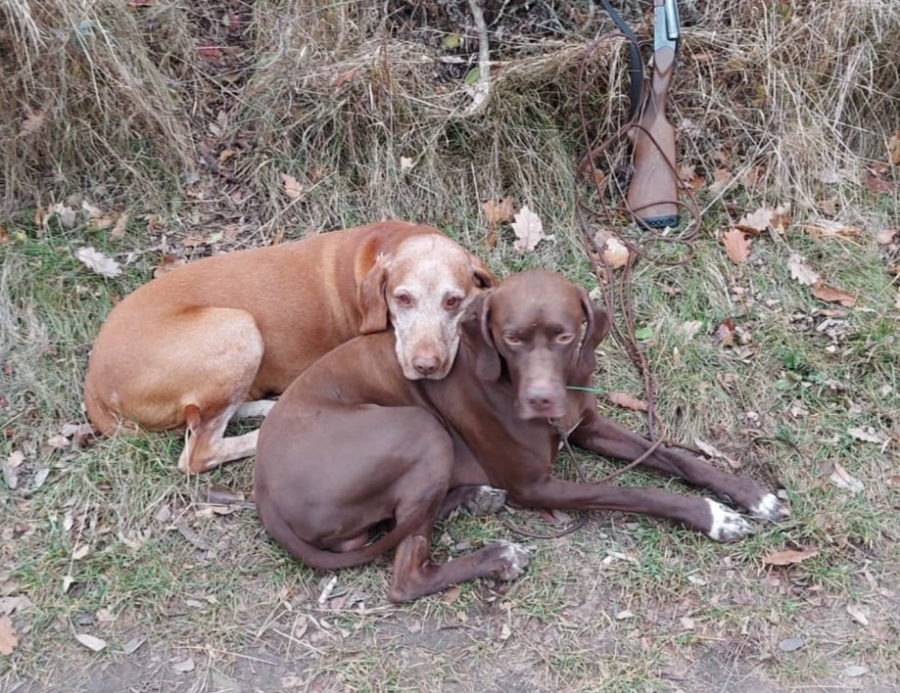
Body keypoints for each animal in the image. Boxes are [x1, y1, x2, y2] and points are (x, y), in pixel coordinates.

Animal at [83, 221, 494, 473]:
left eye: (453, 301)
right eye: (402, 298)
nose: (426, 365)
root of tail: (94, 384)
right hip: (238, 326)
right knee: (199, 451)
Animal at [254, 269, 789, 603]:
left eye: (565, 335)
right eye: (511, 338)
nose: (541, 400)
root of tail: (263, 491)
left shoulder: (588, 426)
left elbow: (679, 458)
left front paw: (749, 495)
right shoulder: (538, 486)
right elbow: (637, 491)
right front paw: (713, 516)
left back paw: (475, 497)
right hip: (422, 429)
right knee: (405, 574)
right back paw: (497, 555)